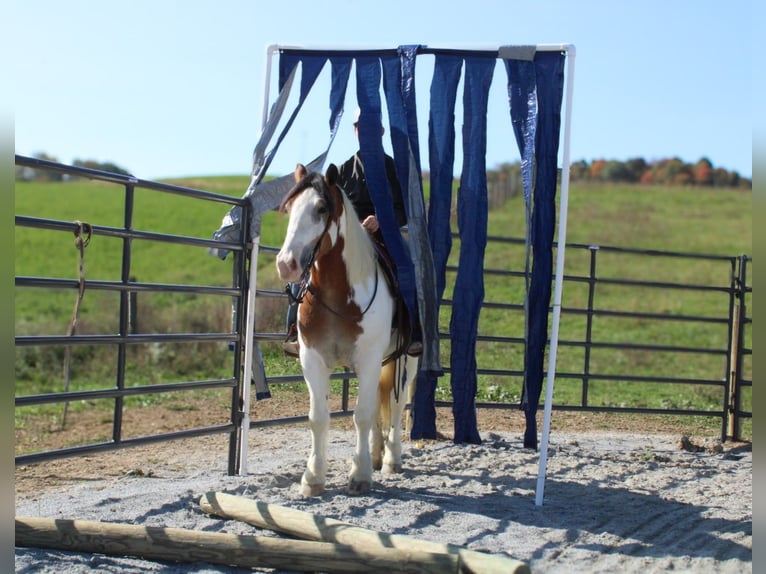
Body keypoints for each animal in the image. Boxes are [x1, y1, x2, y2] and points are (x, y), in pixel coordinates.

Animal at [276, 164, 420, 498]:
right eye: (289, 208)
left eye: (321, 208)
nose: (286, 264)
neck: (338, 296)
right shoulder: (312, 360)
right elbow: (318, 418)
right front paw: (313, 477)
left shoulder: (368, 361)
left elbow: (362, 416)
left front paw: (360, 475)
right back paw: (377, 454)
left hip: (406, 360)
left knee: (396, 404)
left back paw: (391, 459)